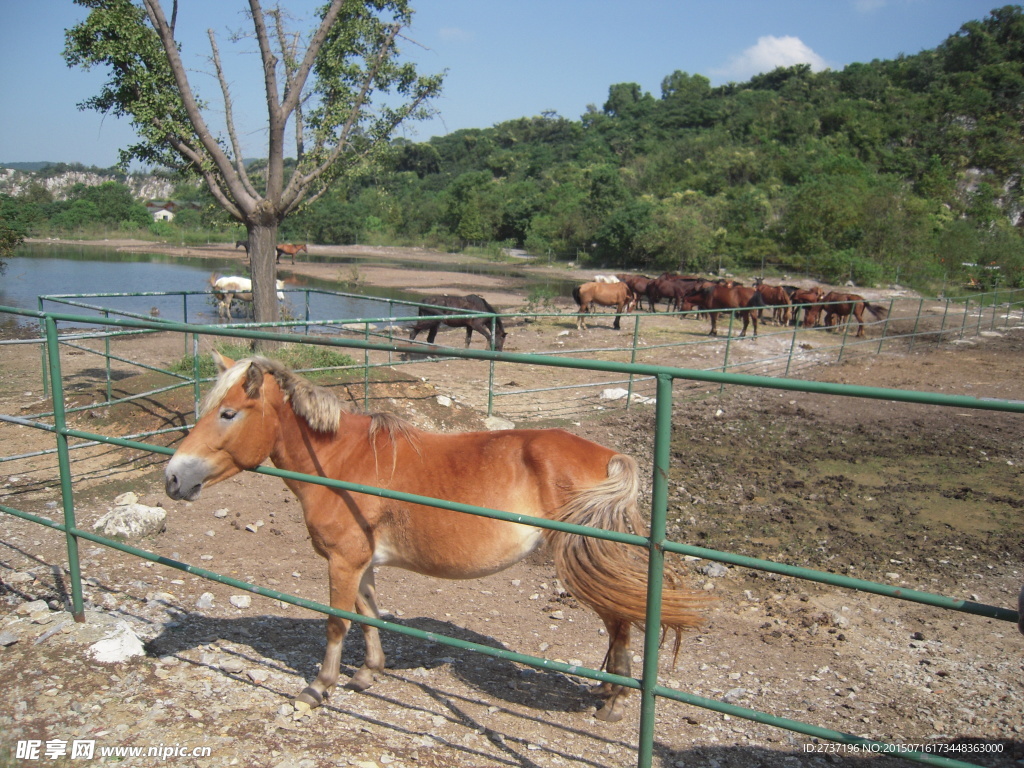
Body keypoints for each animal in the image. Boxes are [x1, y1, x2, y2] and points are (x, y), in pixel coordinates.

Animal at [165, 358, 712, 724]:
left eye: (228, 413)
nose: (173, 478)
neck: (340, 461)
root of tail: (608, 457)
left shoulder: (343, 560)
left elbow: (338, 622)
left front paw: (319, 687)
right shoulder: (364, 562)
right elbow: (368, 613)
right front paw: (368, 674)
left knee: (619, 623)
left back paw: (614, 702)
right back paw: (608, 694)